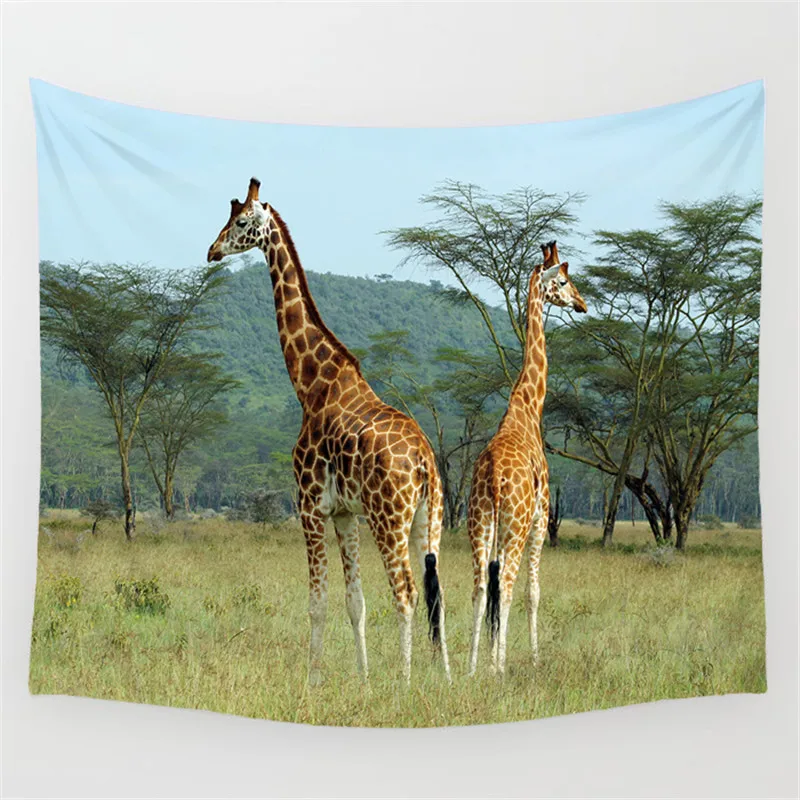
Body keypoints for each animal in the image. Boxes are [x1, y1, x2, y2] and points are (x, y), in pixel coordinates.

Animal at [207, 178, 450, 685]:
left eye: (241, 222)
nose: (212, 251)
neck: (311, 386)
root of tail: (423, 462)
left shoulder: (310, 506)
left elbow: (317, 603)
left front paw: (313, 680)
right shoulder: (343, 513)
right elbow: (354, 603)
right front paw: (363, 680)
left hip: (388, 518)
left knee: (407, 593)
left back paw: (405, 683)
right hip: (429, 519)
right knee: (438, 594)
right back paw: (448, 678)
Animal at [466, 241, 587, 677]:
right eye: (564, 280)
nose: (583, 304)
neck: (528, 406)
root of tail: (493, 477)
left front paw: (488, 659)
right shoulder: (540, 517)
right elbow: (533, 592)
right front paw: (532, 658)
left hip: (479, 521)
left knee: (480, 586)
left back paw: (472, 668)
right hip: (515, 526)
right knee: (507, 585)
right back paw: (497, 669)